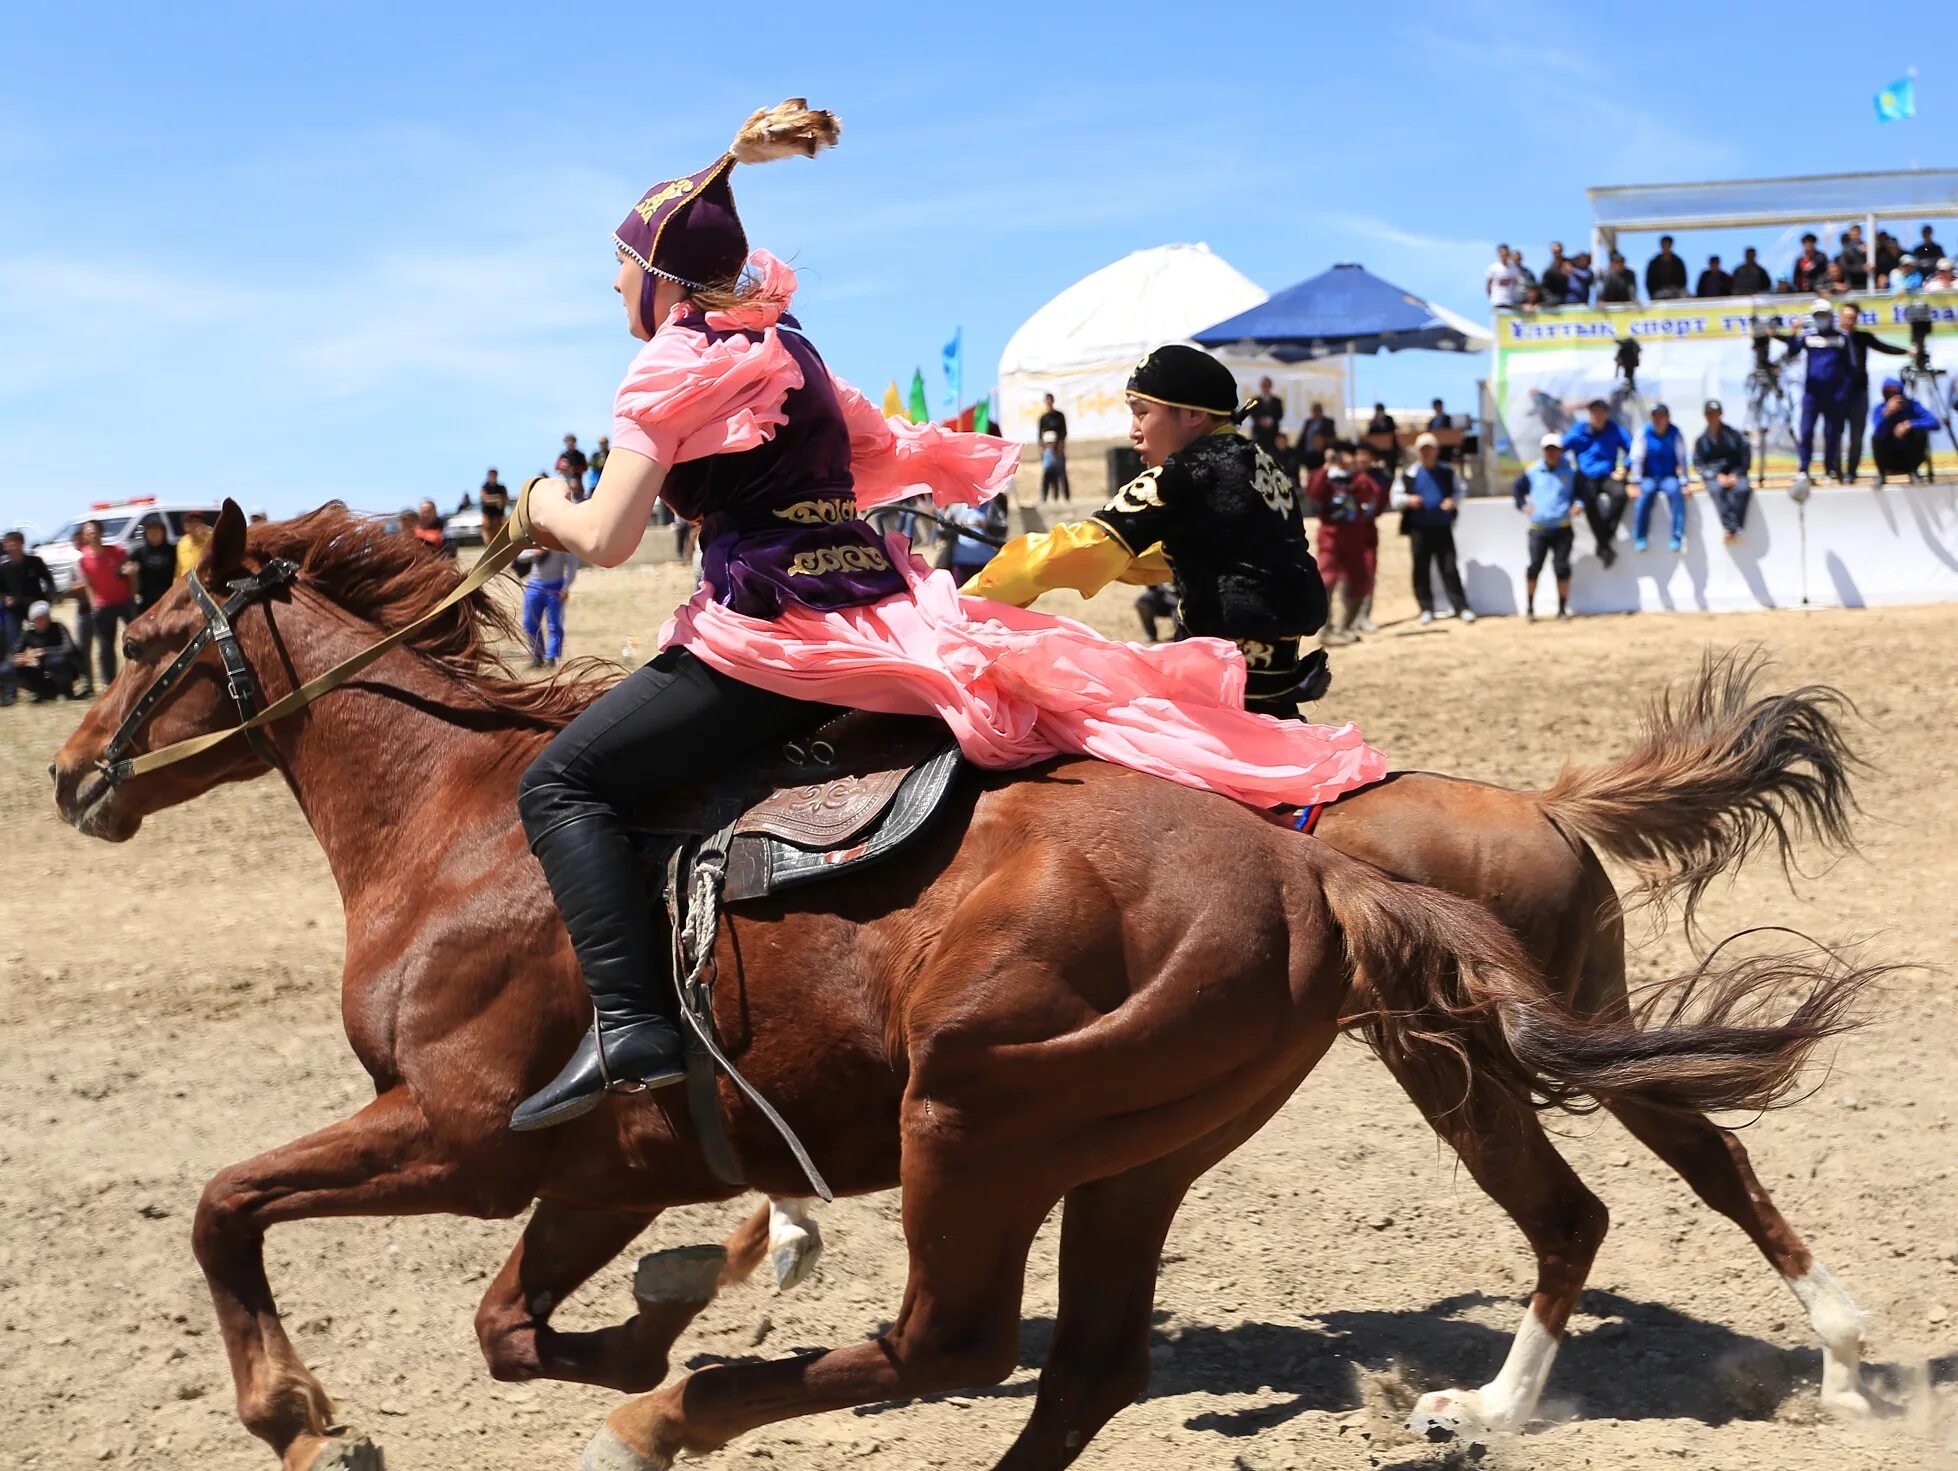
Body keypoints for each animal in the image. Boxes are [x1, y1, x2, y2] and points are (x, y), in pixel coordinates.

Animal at [49, 501, 1879, 1465]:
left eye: (138, 641)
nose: (70, 779)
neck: (465, 820)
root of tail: (1319, 867)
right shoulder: (598, 1166)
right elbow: (515, 1325)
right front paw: (695, 1285)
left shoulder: (467, 1131)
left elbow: (225, 1205)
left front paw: (307, 1417)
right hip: (1206, 1128)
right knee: (1090, 1362)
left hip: (993, 1119)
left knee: (957, 1337)